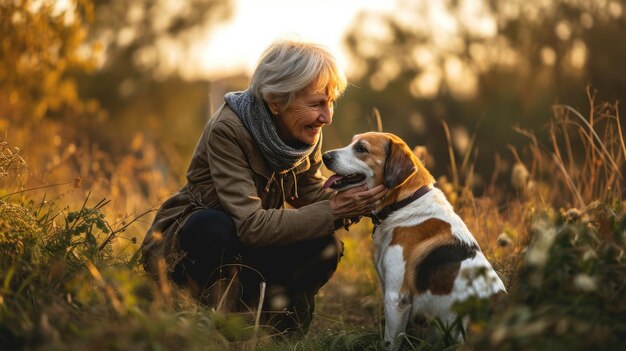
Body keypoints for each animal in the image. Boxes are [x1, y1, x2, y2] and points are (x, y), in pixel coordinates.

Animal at [322, 133, 502, 350]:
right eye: (352, 141)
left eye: (361, 149)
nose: (324, 156)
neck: (404, 204)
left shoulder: (396, 297)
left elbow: (391, 341)